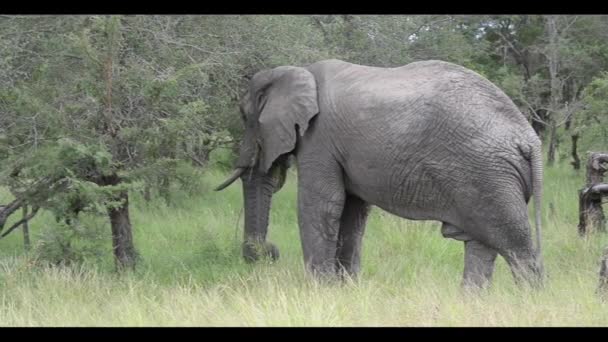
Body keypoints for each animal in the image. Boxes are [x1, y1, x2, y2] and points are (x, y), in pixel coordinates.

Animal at [216, 58, 544, 288]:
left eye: (245, 116)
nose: (267, 252)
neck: (298, 70)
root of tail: (529, 138)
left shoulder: (319, 140)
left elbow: (323, 206)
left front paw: (319, 291)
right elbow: (351, 213)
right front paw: (345, 289)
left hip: (488, 175)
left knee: (517, 247)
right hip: (487, 178)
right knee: (482, 245)